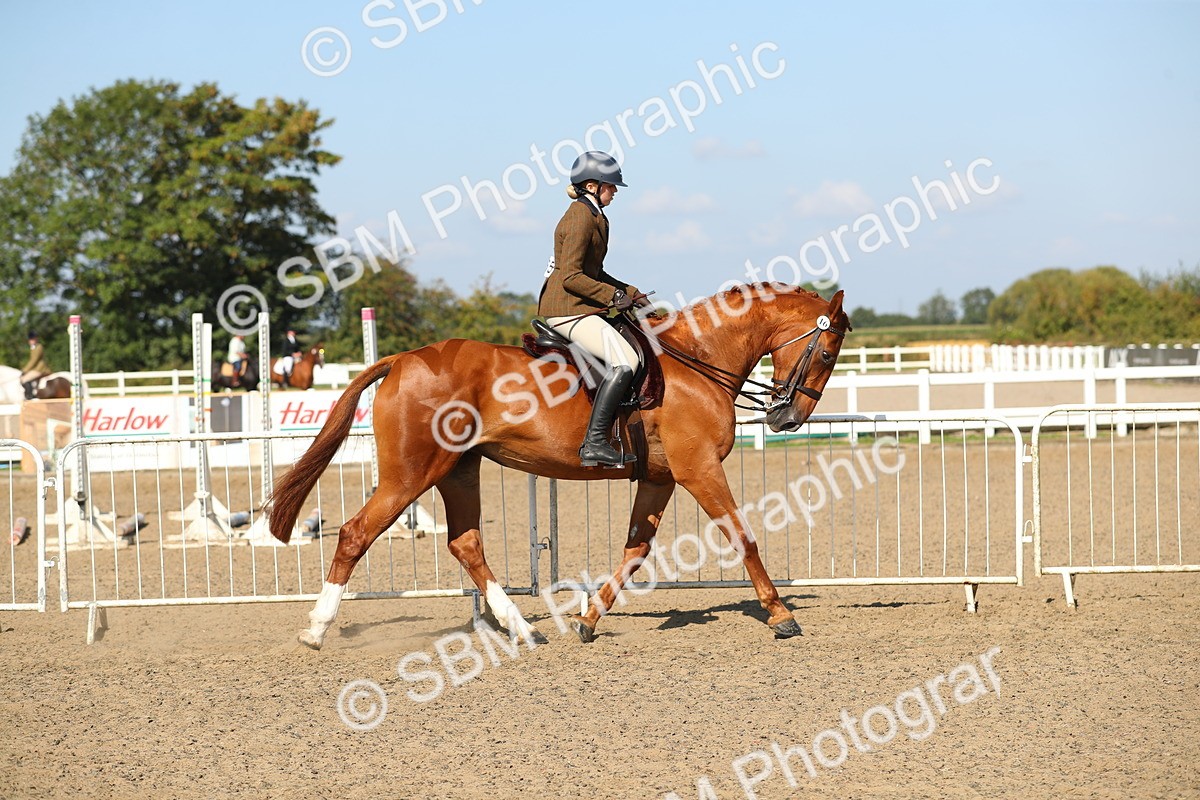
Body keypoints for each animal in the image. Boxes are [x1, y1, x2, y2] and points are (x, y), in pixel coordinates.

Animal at [267, 284, 850, 649]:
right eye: (827, 354)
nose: (788, 417)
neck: (699, 361)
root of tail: (404, 358)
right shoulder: (699, 469)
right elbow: (742, 536)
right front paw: (781, 615)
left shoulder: (660, 478)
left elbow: (635, 552)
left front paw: (589, 620)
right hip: (410, 475)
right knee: (355, 534)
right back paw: (316, 629)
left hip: (458, 471)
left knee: (467, 545)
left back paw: (523, 629)